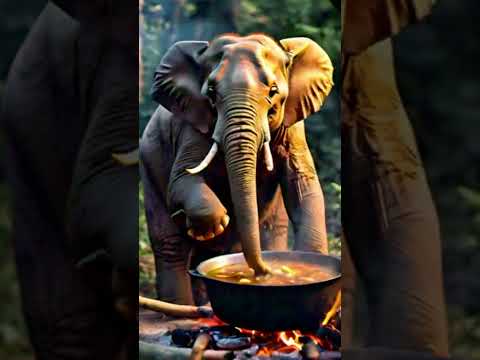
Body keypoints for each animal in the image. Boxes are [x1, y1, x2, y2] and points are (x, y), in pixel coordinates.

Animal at [140, 33, 334, 304]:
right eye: (211, 92)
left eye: (273, 91)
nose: (264, 273)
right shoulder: (193, 124)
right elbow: (180, 179)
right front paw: (212, 225)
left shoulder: (293, 127)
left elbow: (303, 184)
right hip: (148, 164)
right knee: (171, 248)